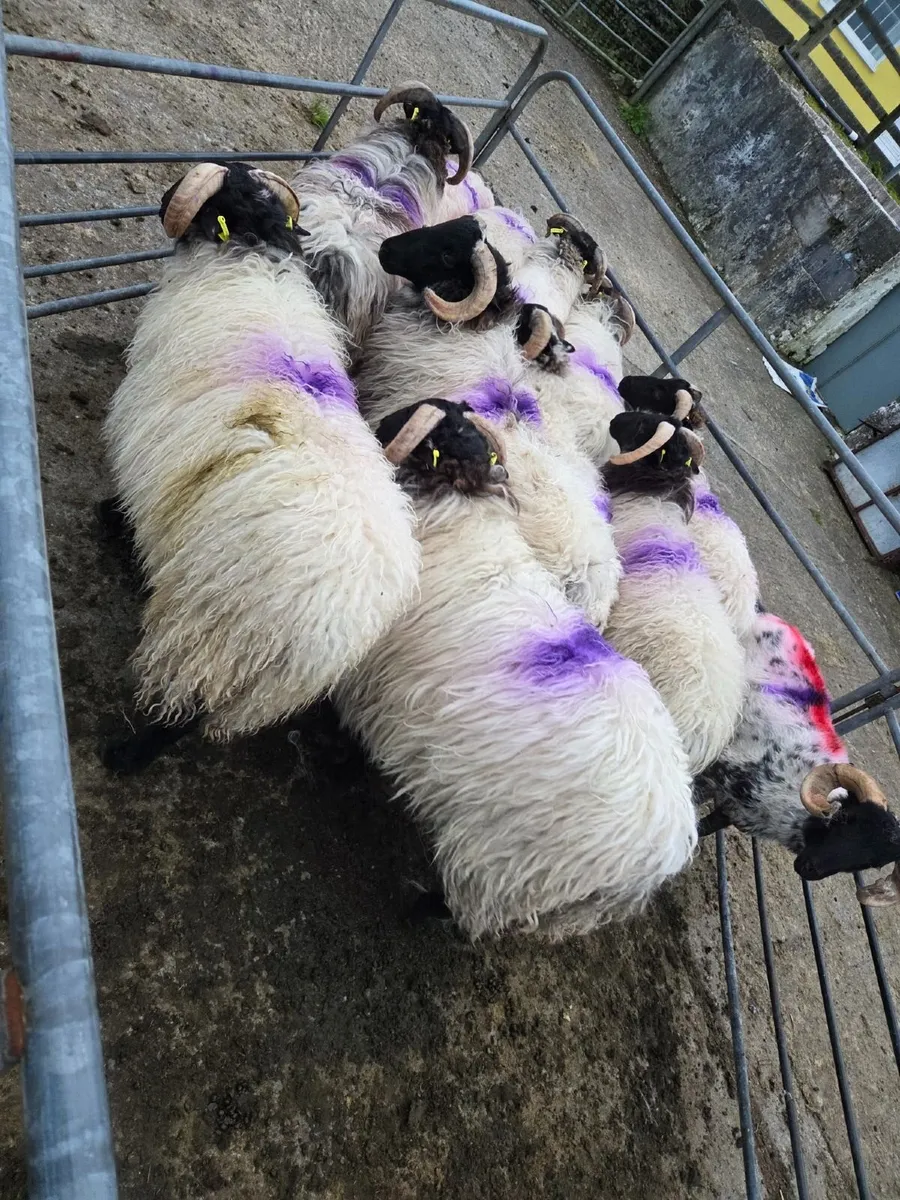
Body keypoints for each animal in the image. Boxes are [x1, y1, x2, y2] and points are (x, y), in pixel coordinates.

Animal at [102, 162, 421, 767]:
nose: (163, 199)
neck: (254, 258)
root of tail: (342, 615)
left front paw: (108, 520)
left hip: (214, 630)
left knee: (185, 710)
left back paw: (126, 756)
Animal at [331, 403, 698, 939]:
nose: (376, 420)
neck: (461, 509)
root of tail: (662, 857)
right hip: (554, 894)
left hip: (505, 865)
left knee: (467, 911)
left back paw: (422, 906)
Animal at [695, 610, 900, 902]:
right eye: (846, 819)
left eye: (872, 863)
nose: (808, 868)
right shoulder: (719, 767)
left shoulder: (733, 811)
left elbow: (702, 827)